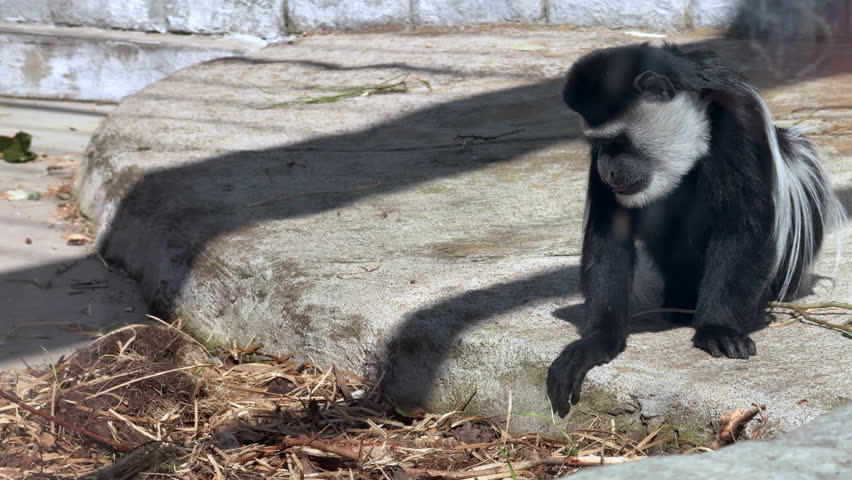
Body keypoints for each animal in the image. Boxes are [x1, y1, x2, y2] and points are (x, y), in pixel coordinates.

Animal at [547, 43, 846, 417]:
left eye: (619, 141)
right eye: (598, 145)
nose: (606, 171)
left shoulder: (738, 124)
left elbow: (743, 227)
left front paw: (718, 330)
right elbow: (609, 236)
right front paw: (595, 343)